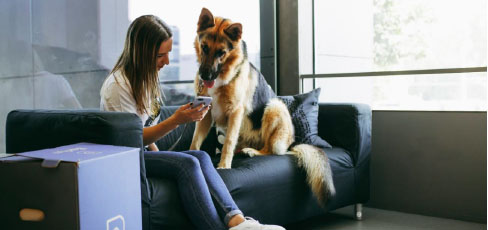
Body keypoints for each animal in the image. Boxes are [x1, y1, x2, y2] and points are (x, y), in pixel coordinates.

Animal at [189, 7, 334, 205]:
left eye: (221, 52)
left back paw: (252, 152)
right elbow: (196, 140)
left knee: (271, 150)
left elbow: (228, 142)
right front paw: (189, 154)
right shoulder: (205, 114)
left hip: (274, 107)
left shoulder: (235, 112)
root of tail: (291, 144)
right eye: (204, 47)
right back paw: (243, 150)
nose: (205, 76)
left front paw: (224, 165)